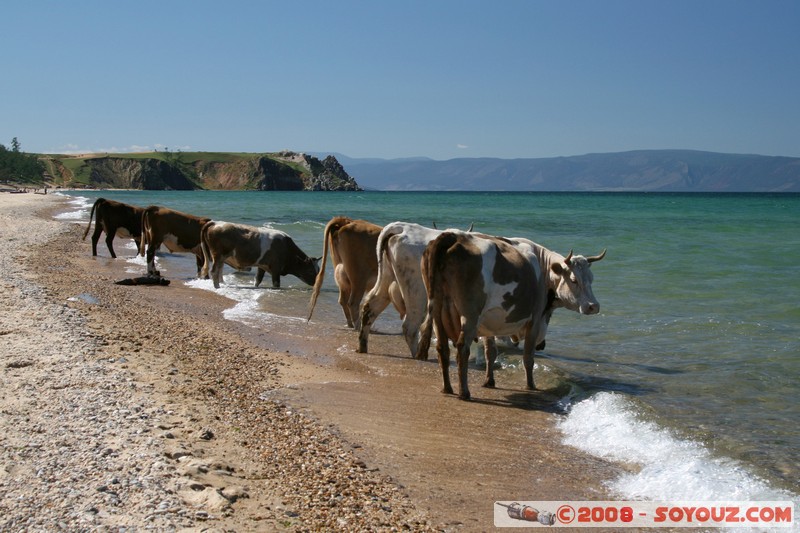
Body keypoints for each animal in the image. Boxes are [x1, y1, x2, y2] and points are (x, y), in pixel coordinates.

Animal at [417, 231, 605, 400]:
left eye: (591, 278)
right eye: (574, 280)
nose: (593, 306)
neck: (543, 267)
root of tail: (452, 236)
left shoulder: (489, 322)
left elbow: (491, 352)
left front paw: (489, 381)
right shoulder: (535, 319)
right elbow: (528, 357)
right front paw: (531, 386)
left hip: (438, 311)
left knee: (442, 348)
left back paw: (447, 388)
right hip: (469, 316)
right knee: (462, 348)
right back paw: (464, 392)